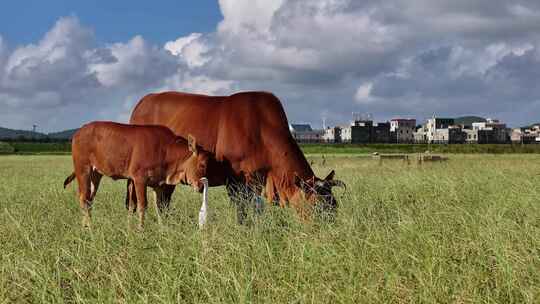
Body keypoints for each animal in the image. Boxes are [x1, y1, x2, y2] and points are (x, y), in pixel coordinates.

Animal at [64, 121, 212, 228]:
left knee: (89, 199)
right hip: (83, 170)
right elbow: (142, 205)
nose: (200, 187)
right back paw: (89, 227)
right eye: (202, 164)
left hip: (96, 174)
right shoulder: (139, 179)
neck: (166, 151)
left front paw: (162, 227)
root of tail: (78, 132)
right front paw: (141, 229)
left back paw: (86, 225)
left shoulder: (158, 183)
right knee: (84, 198)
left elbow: (159, 206)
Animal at [129, 90, 344, 221]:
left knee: (162, 200)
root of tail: (142, 103)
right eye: (317, 207)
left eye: (334, 206)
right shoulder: (235, 182)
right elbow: (241, 212)